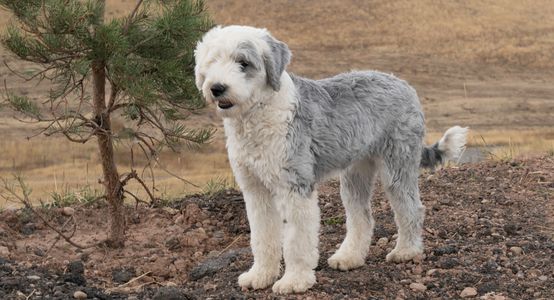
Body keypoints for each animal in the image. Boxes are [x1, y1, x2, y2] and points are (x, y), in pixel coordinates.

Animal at [193, 25, 466, 292]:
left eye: (243, 62)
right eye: (213, 60)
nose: (217, 88)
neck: (261, 112)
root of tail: (403, 84)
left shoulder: (295, 188)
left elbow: (296, 241)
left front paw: (294, 281)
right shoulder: (255, 190)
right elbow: (262, 237)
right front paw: (260, 275)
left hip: (397, 165)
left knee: (411, 209)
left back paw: (405, 252)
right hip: (356, 174)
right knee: (362, 217)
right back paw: (349, 257)